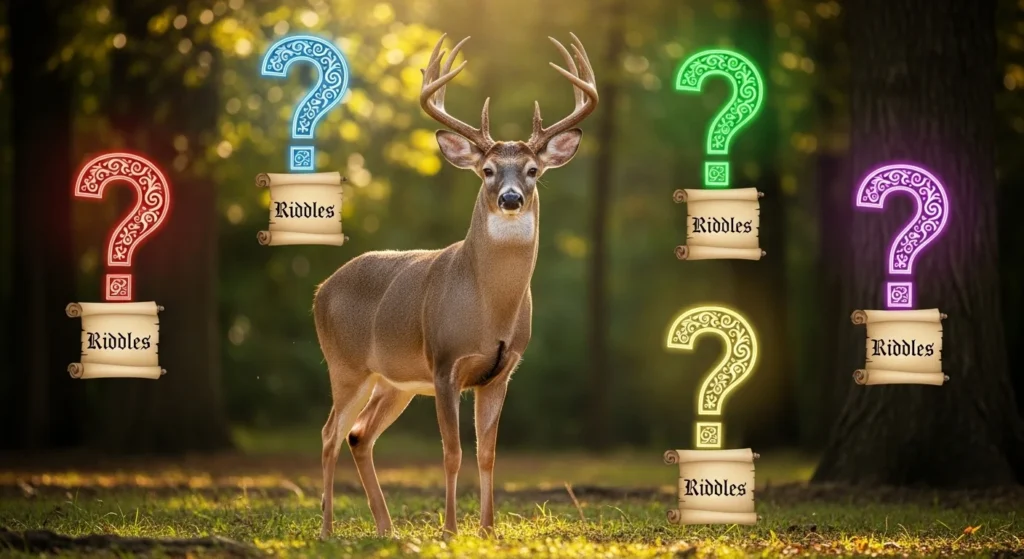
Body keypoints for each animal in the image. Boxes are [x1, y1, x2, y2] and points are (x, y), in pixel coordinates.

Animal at [312, 32, 598, 540]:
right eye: (487, 170)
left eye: (532, 171)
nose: (511, 198)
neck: (489, 309)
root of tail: (320, 290)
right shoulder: (445, 363)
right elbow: (451, 453)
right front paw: (449, 529)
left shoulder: (502, 371)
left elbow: (487, 454)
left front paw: (488, 529)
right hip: (346, 366)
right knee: (330, 433)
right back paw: (327, 530)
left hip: (395, 381)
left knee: (359, 434)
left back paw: (387, 528)